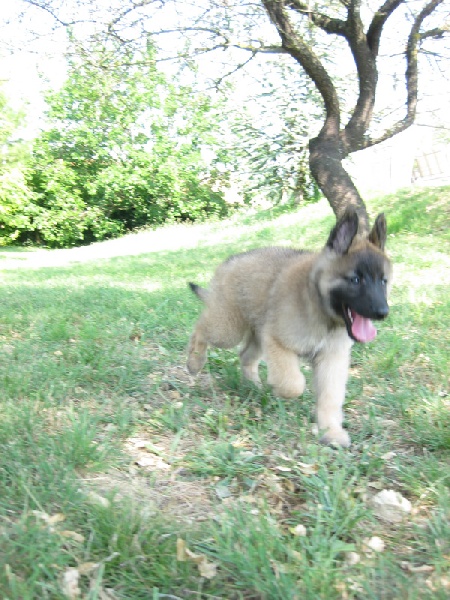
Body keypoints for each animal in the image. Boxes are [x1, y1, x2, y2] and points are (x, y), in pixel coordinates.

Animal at [187, 209, 392, 447]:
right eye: (356, 280)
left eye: (383, 281)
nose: (383, 312)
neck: (318, 305)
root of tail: (229, 262)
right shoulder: (278, 342)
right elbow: (293, 384)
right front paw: (281, 390)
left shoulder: (331, 359)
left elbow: (330, 397)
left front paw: (331, 430)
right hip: (228, 328)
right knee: (201, 327)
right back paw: (194, 362)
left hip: (257, 333)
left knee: (245, 355)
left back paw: (253, 385)